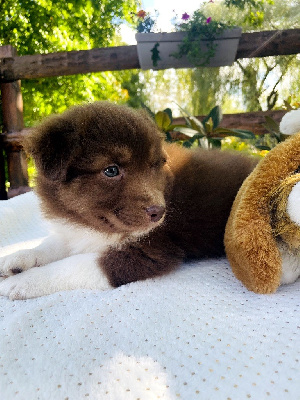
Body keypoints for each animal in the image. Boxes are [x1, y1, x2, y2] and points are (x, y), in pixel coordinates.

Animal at [0, 101, 256, 298]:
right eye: (111, 170)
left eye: (154, 166)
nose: (159, 213)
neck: (94, 225)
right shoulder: (76, 231)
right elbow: (50, 245)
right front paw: (16, 259)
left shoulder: (149, 251)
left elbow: (73, 265)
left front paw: (23, 282)